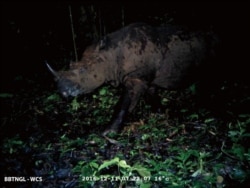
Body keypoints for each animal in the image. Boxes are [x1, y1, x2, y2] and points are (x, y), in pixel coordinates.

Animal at [46, 22, 217, 136]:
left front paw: (108, 132)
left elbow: (123, 104)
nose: (63, 93)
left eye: (82, 71)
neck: (109, 55)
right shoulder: (144, 78)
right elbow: (149, 96)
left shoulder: (136, 77)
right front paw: (160, 112)